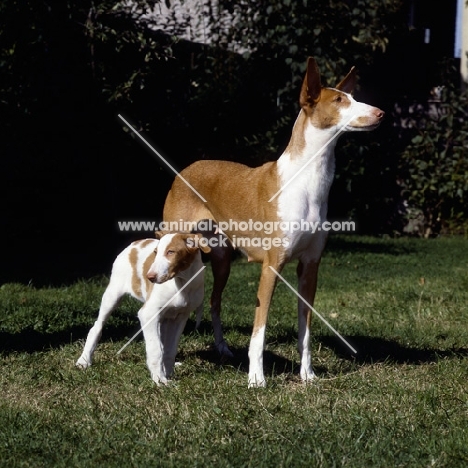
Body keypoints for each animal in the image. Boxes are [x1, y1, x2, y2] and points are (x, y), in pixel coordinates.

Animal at [77, 232, 210, 386]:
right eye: (156, 253)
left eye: (171, 252)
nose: (150, 277)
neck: (182, 283)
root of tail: (135, 243)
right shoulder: (148, 314)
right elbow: (155, 349)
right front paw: (159, 379)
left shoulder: (180, 317)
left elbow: (169, 349)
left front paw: (167, 374)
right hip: (112, 295)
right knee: (96, 327)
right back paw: (84, 360)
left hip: (165, 319)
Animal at [163, 57, 382, 388]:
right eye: (339, 101)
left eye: (352, 97)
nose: (380, 113)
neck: (307, 183)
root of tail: (187, 168)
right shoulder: (271, 266)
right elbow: (259, 330)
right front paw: (256, 378)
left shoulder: (310, 267)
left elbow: (305, 332)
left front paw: (307, 374)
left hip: (222, 261)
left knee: (214, 302)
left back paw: (222, 349)